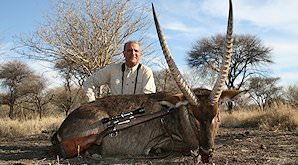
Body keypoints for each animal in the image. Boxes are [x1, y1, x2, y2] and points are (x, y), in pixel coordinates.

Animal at [50, 0, 237, 163]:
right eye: (193, 114)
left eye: (217, 113)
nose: (207, 151)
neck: (175, 114)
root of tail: (60, 129)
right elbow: (187, 147)